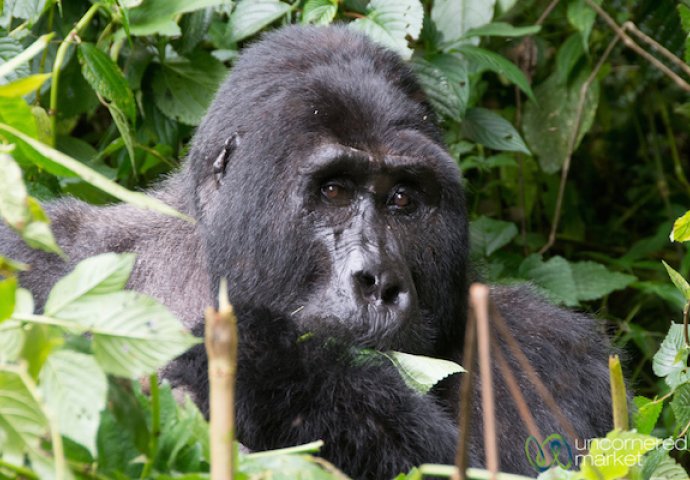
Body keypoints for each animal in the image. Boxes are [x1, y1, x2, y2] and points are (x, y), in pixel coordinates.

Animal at [2, 25, 612, 480]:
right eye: (334, 191)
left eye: (403, 199)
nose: (380, 282)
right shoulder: (43, 257)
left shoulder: (550, 348)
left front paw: (263, 368)